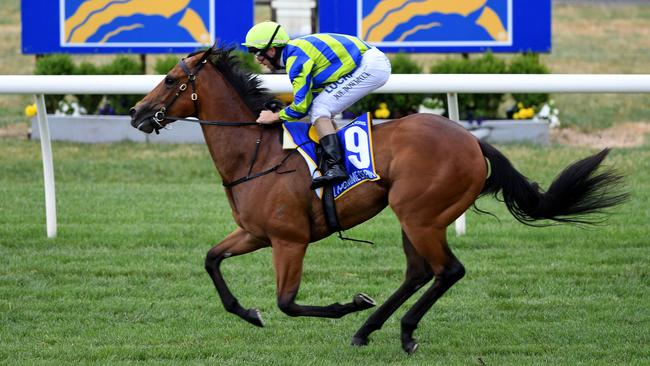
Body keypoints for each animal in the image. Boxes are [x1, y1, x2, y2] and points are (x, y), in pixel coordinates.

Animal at [129, 46, 624, 354]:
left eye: (170, 79)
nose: (136, 113)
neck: (256, 153)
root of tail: (472, 141)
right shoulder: (254, 233)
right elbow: (212, 260)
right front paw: (249, 313)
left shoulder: (289, 240)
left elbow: (288, 302)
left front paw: (350, 303)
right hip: (417, 218)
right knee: (420, 271)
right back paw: (371, 331)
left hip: (420, 214)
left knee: (447, 270)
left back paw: (396, 329)